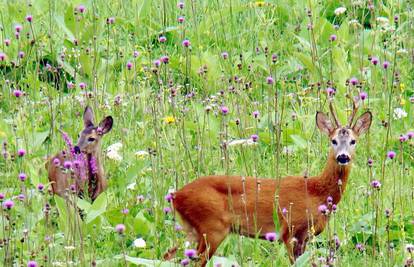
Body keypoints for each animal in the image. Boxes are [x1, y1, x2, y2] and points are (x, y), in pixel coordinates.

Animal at [165, 98, 372, 266]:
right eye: (333, 140)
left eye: (353, 141)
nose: (343, 157)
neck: (316, 192)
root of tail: (176, 195)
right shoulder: (290, 231)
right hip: (212, 228)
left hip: (192, 231)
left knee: (168, 255)